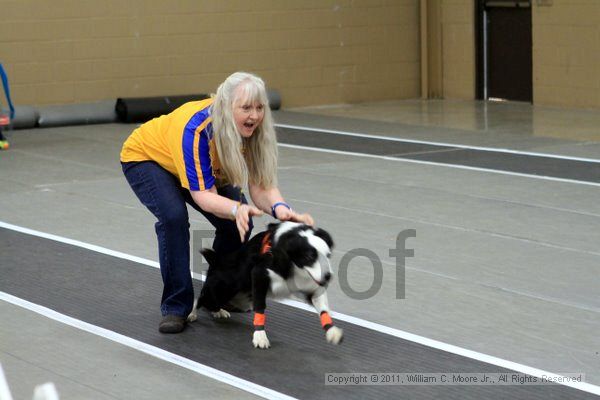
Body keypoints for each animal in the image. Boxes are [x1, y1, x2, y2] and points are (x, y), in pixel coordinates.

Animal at [190, 220, 344, 348]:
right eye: (309, 256)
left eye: (328, 255)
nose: (328, 276)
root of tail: (217, 261)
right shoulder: (259, 274)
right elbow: (260, 307)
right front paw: (260, 337)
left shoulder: (312, 285)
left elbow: (323, 308)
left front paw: (332, 331)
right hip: (225, 287)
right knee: (202, 297)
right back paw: (192, 314)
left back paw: (218, 311)